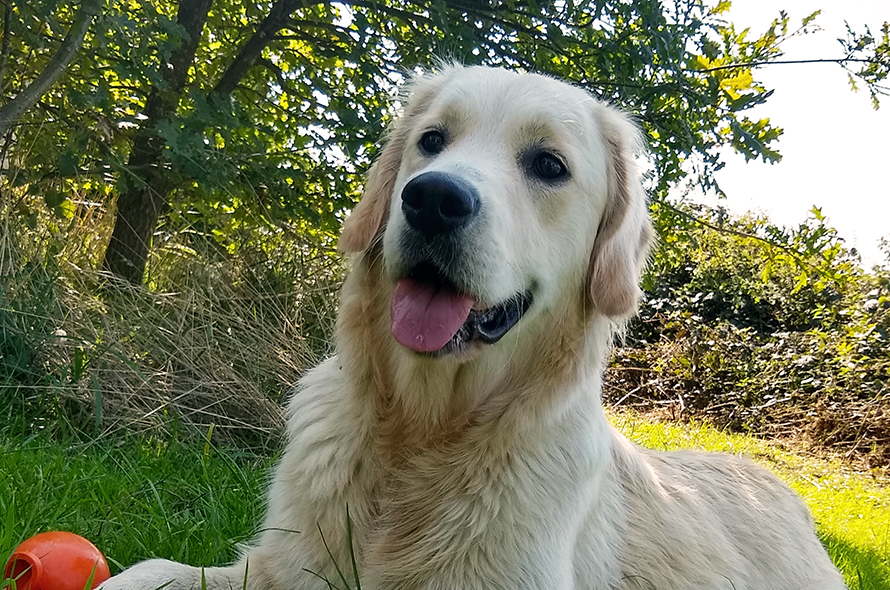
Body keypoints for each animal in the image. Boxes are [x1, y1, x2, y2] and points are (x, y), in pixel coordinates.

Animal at [100, 65, 844, 590]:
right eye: (431, 141)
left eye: (548, 165)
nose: (432, 198)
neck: (422, 431)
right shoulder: (283, 563)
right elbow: (145, 572)